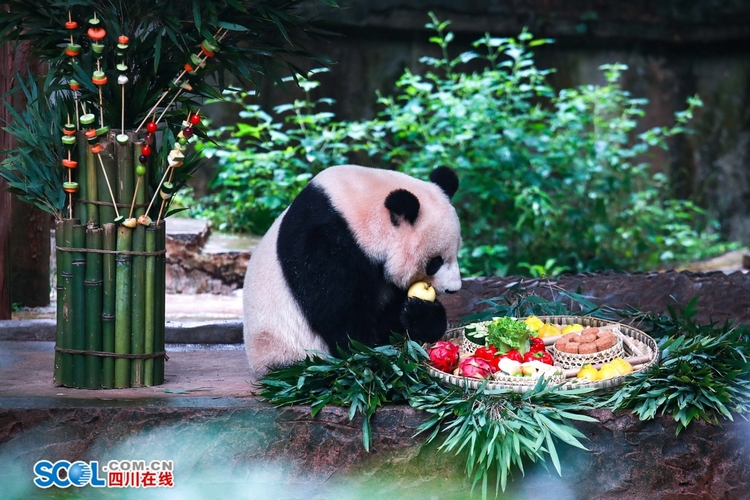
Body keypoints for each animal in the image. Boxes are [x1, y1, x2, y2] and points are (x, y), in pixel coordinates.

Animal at [244, 165, 462, 378]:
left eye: (456, 252)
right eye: (435, 262)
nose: (453, 289)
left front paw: (423, 316)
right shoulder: (324, 241)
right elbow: (340, 315)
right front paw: (367, 350)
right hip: (284, 348)